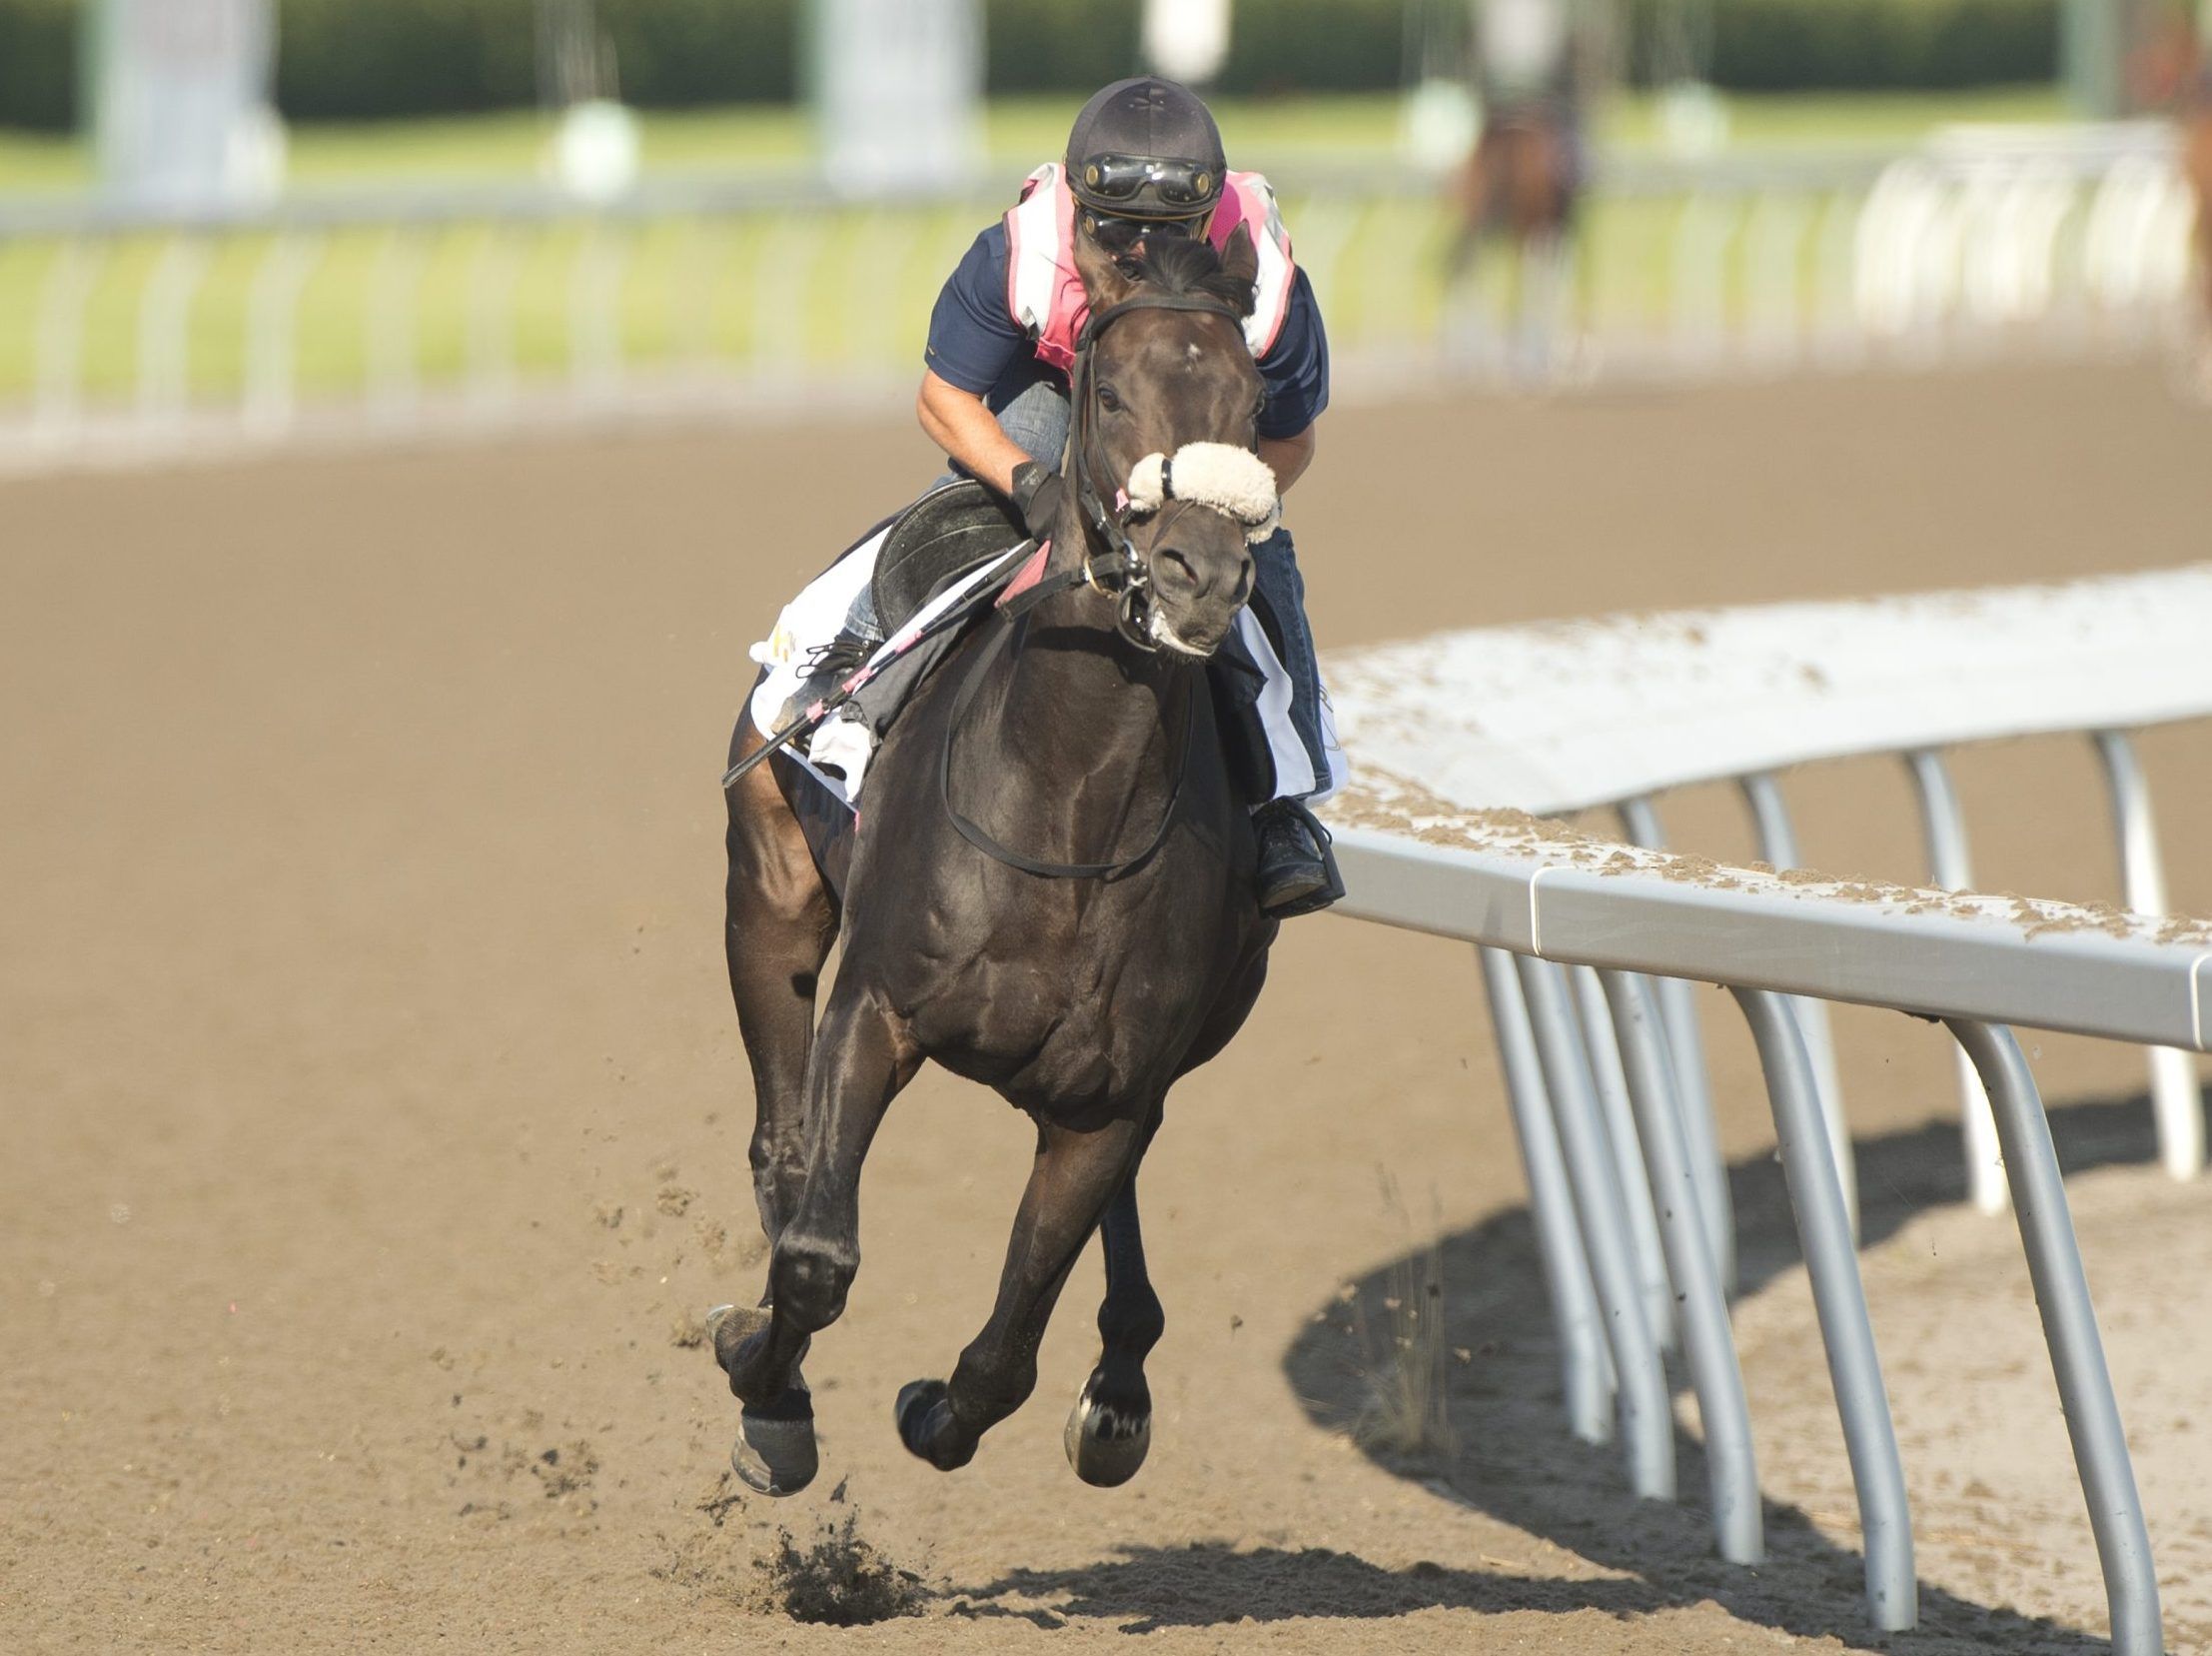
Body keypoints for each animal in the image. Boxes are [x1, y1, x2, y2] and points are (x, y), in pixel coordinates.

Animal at [716, 223, 1283, 1496]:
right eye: (1112, 393)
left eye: (1253, 400)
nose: (1199, 573)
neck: (1070, 811)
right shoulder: (877, 1007)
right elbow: (819, 1254)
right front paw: (763, 1386)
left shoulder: (1111, 1095)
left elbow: (1011, 1343)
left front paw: (941, 1407)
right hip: (770, 886)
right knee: (782, 1147)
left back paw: (1120, 1386)